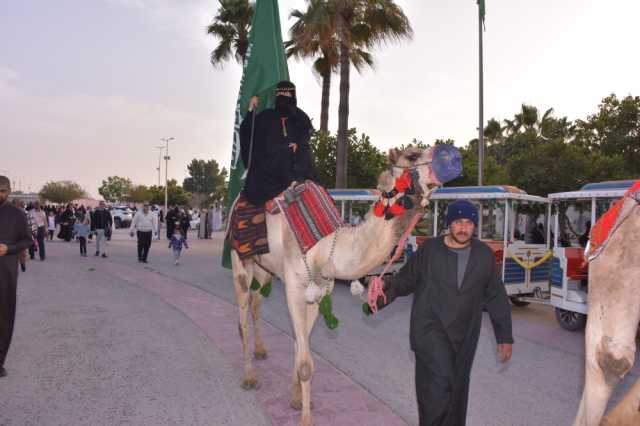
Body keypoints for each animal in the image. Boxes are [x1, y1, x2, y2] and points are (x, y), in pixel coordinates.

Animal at [230, 147, 444, 426]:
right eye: (412, 156)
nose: (449, 157)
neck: (325, 246)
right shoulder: (295, 288)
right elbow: (306, 364)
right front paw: (305, 419)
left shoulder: (317, 289)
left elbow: (300, 345)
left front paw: (296, 399)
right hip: (240, 261)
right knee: (243, 314)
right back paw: (249, 377)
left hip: (265, 269)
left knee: (256, 303)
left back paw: (261, 351)